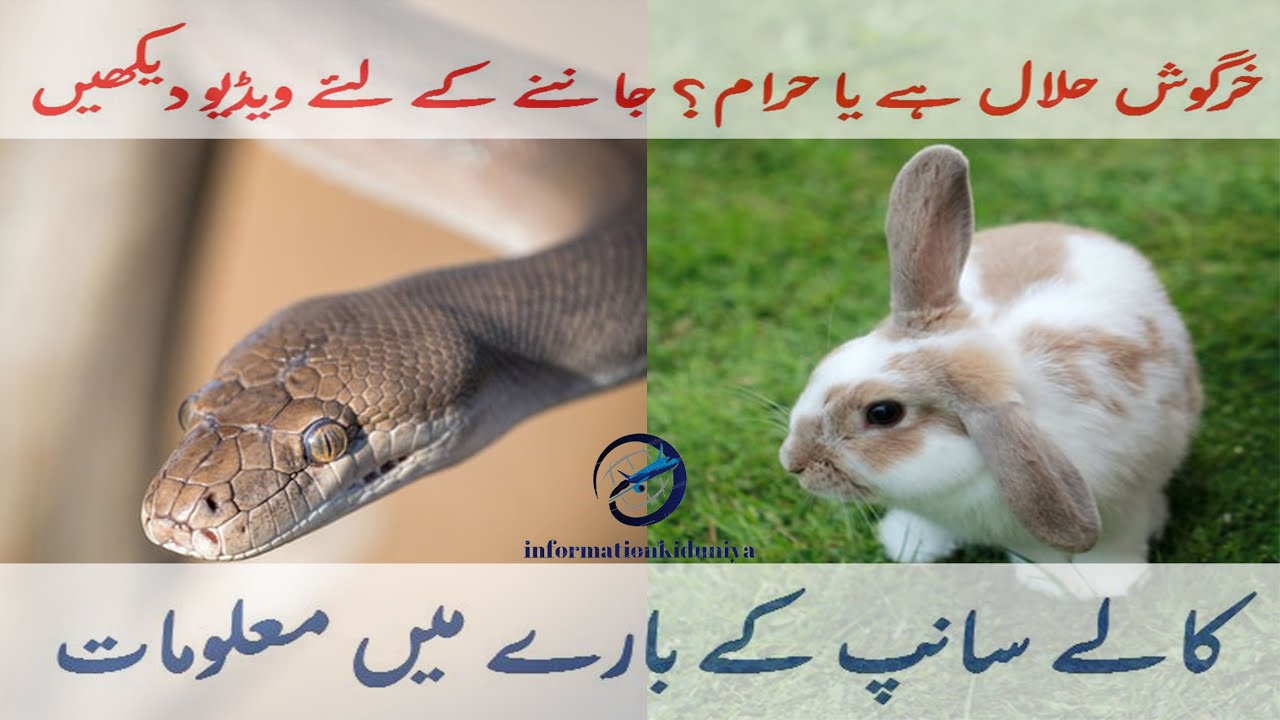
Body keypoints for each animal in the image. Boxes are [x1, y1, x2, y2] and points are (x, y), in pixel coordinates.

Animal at [778, 144, 1202, 583]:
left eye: (883, 413)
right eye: (832, 359)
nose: (793, 462)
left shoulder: (1122, 504)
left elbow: (1111, 547)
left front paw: (1109, 584)